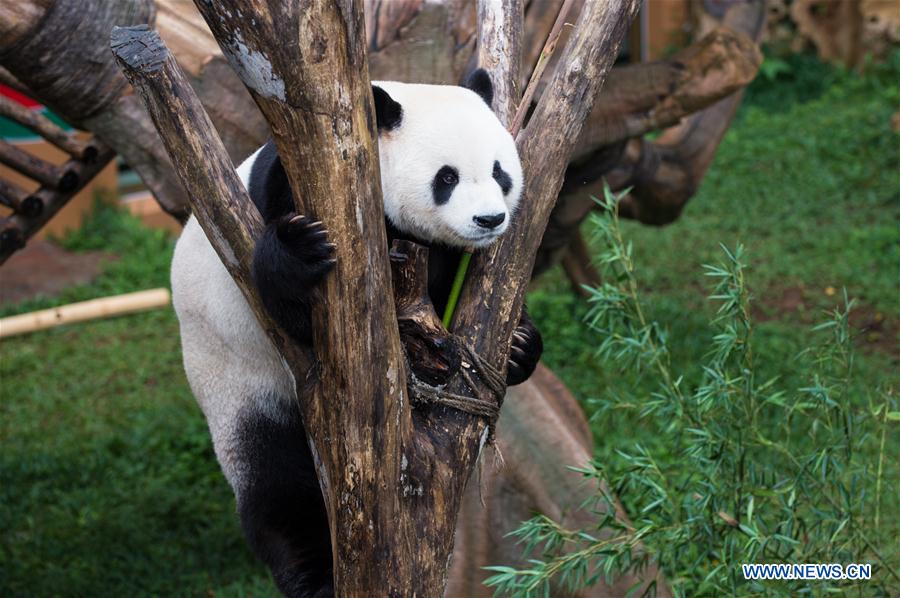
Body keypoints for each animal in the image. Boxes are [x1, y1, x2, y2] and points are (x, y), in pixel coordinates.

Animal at [170, 69, 543, 597]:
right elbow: (295, 310)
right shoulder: (296, 189)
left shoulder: (446, 256)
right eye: (446, 178)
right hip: (239, 385)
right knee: (278, 489)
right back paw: (315, 579)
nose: (489, 219)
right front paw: (302, 251)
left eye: (499, 172)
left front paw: (519, 347)